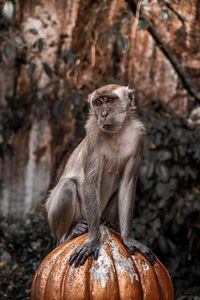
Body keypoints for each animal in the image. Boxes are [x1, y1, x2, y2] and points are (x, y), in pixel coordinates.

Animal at [46, 84, 155, 268]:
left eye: (109, 100)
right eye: (98, 103)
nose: (103, 114)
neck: (116, 133)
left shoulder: (137, 138)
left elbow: (127, 184)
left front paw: (127, 238)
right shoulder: (93, 136)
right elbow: (90, 182)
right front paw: (92, 240)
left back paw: (107, 223)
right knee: (68, 185)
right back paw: (69, 233)